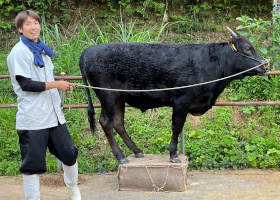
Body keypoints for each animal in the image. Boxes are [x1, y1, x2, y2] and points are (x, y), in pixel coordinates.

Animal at [79, 26, 270, 164]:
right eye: (248, 48)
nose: (265, 66)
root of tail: (89, 50)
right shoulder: (181, 101)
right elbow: (177, 127)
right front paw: (173, 154)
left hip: (119, 98)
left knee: (118, 123)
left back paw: (137, 151)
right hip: (108, 96)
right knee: (106, 123)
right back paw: (121, 157)